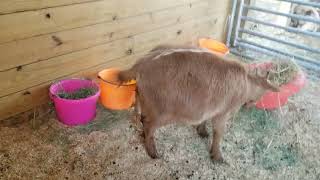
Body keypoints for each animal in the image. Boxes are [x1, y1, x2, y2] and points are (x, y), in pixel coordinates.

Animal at [119, 45, 278, 163]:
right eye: (264, 91)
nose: (250, 105)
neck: (246, 83)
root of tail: (140, 66)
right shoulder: (223, 113)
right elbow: (219, 133)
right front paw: (217, 157)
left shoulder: (210, 107)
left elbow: (205, 121)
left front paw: (202, 132)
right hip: (160, 111)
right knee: (148, 124)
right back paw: (153, 153)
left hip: (142, 100)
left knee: (140, 119)